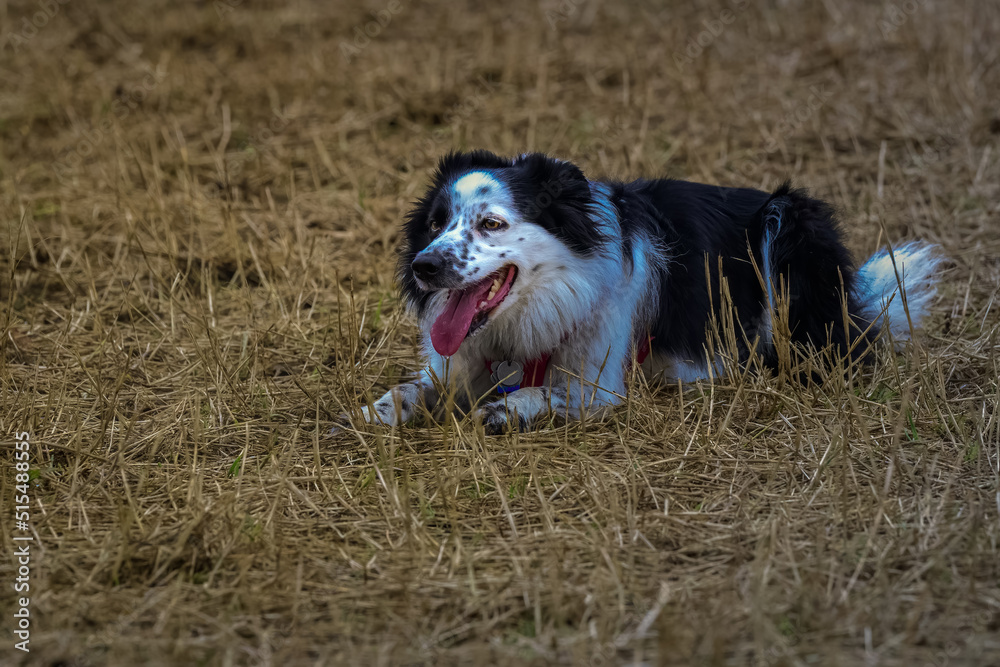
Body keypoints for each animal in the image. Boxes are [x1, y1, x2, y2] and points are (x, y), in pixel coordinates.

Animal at [350, 151, 936, 434]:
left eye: (492, 223)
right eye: (435, 223)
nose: (425, 267)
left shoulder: (601, 379)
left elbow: (556, 393)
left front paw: (509, 409)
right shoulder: (457, 366)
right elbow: (409, 391)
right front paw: (376, 413)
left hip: (788, 219)